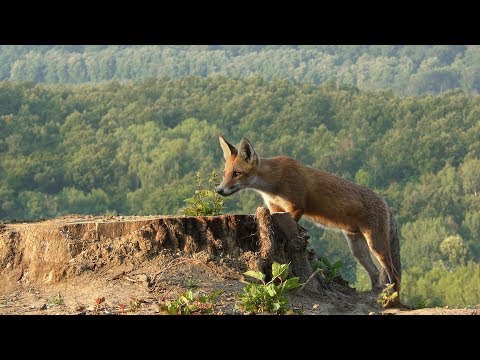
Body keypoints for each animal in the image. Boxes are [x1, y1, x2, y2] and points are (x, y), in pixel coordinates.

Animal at [218, 136, 402, 296]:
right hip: (357, 248)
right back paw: (376, 294)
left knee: (394, 274)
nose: (219, 190)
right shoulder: (275, 208)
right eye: (224, 173)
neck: (273, 183)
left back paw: (392, 301)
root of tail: (385, 202)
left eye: (237, 174)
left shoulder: (296, 207)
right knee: (375, 272)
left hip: (376, 245)